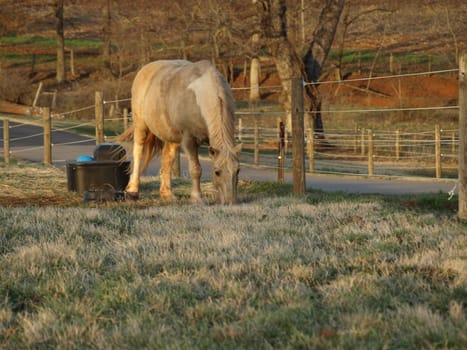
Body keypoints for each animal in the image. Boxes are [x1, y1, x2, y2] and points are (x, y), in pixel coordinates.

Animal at [119, 58, 243, 204]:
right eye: (217, 172)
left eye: (237, 170)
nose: (231, 202)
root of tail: (145, 69)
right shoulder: (189, 140)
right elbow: (196, 169)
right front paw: (196, 198)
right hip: (141, 125)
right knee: (138, 153)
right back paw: (133, 191)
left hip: (172, 137)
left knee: (167, 159)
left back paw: (167, 194)